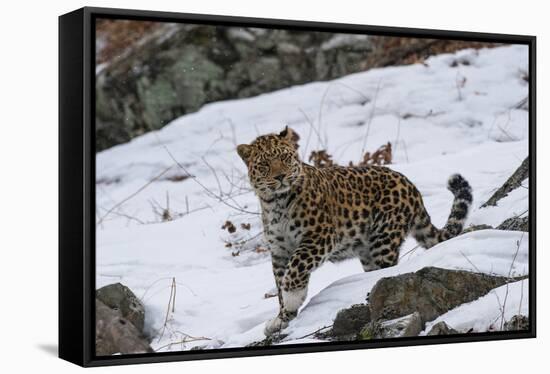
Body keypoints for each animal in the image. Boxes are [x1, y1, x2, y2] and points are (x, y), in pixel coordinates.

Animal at [237, 126, 474, 336]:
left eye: (285, 158)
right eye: (265, 164)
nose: (281, 177)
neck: (275, 203)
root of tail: (412, 188)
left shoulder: (319, 236)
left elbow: (295, 269)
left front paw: (293, 298)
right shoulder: (279, 250)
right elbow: (280, 281)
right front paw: (283, 317)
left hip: (383, 240)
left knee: (388, 269)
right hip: (368, 252)